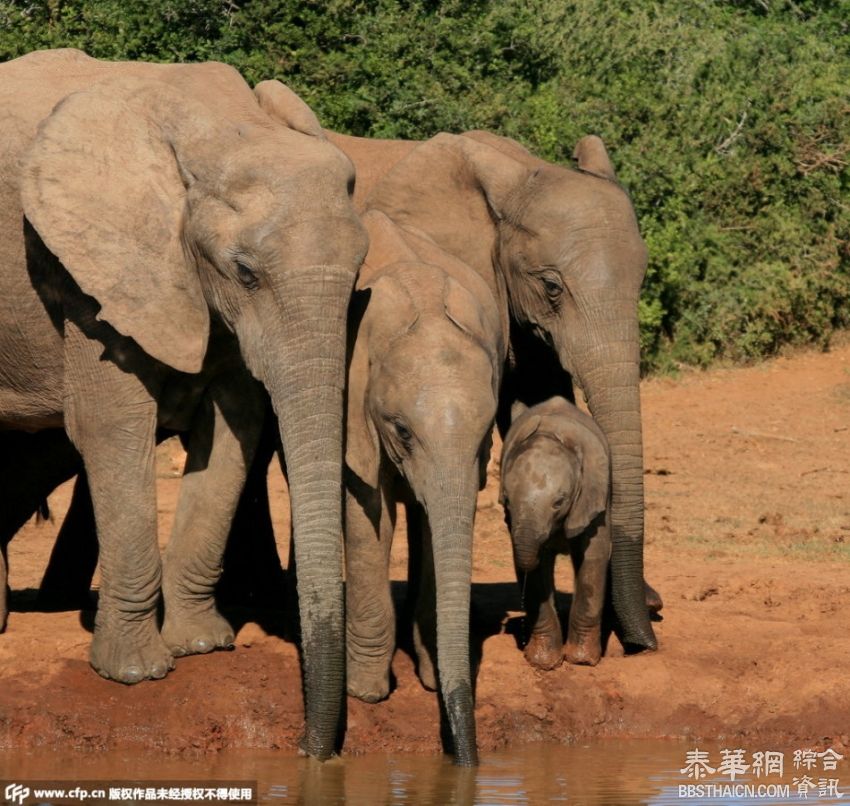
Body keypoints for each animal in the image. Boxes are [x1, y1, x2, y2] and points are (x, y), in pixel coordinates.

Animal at [0, 52, 364, 764]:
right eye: (245, 272)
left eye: (360, 269)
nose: (312, 750)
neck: (213, 127)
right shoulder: (95, 273)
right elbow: (113, 428)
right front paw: (134, 674)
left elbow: (235, 427)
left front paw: (203, 644)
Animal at [342, 207, 506, 764]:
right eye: (402, 431)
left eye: (487, 433)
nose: (466, 761)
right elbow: (365, 512)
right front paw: (366, 693)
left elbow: (443, 521)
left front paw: (433, 679)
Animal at [496, 396, 608, 668]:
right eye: (507, 500)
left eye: (559, 502)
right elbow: (537, 571)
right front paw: (544, 662)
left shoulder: (593, 496)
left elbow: (594, 557)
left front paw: (582, 660)